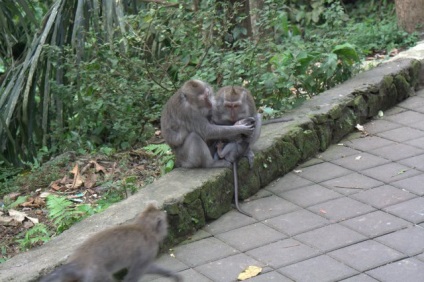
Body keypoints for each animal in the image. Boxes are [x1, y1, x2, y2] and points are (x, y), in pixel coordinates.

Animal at [39, 204, 180, 282]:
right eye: (165, 221)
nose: (167, 228)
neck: (143, 227)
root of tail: (77, 261)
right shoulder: (148, 249)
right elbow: (133, 275)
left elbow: (148, 267)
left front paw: (170, 274)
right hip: (96, 274)